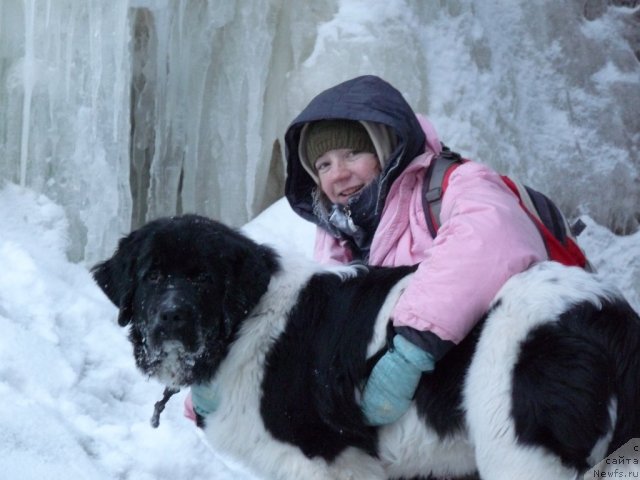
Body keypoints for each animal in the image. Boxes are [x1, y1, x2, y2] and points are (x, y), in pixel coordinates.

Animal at [91, 215, 640, 480]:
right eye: (153, 275)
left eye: (203, 279)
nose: (171, 316)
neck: (243, 326)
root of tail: (605, 311)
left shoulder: (321, 462)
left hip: (519, 450)